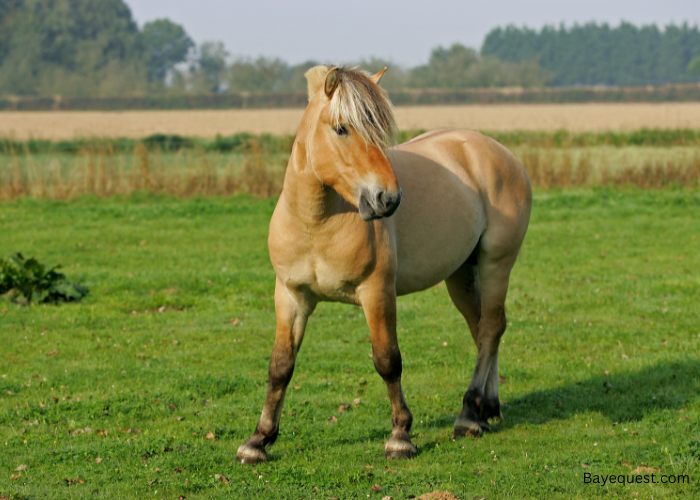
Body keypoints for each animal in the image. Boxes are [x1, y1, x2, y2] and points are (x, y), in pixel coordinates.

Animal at [235, 66, 532, 464]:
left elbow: (387, 360)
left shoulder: (376, 292)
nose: (388, 198)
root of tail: (500, 153)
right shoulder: (290, 296)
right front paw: (258, 440)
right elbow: (280, 365)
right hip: (461, 274)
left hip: (496, 262)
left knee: (490, 328)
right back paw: (487, 409)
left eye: (378, 130)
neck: (317, 224)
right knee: (483, 328)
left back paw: (469, 413)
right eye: (341, 128)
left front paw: (400, 436)